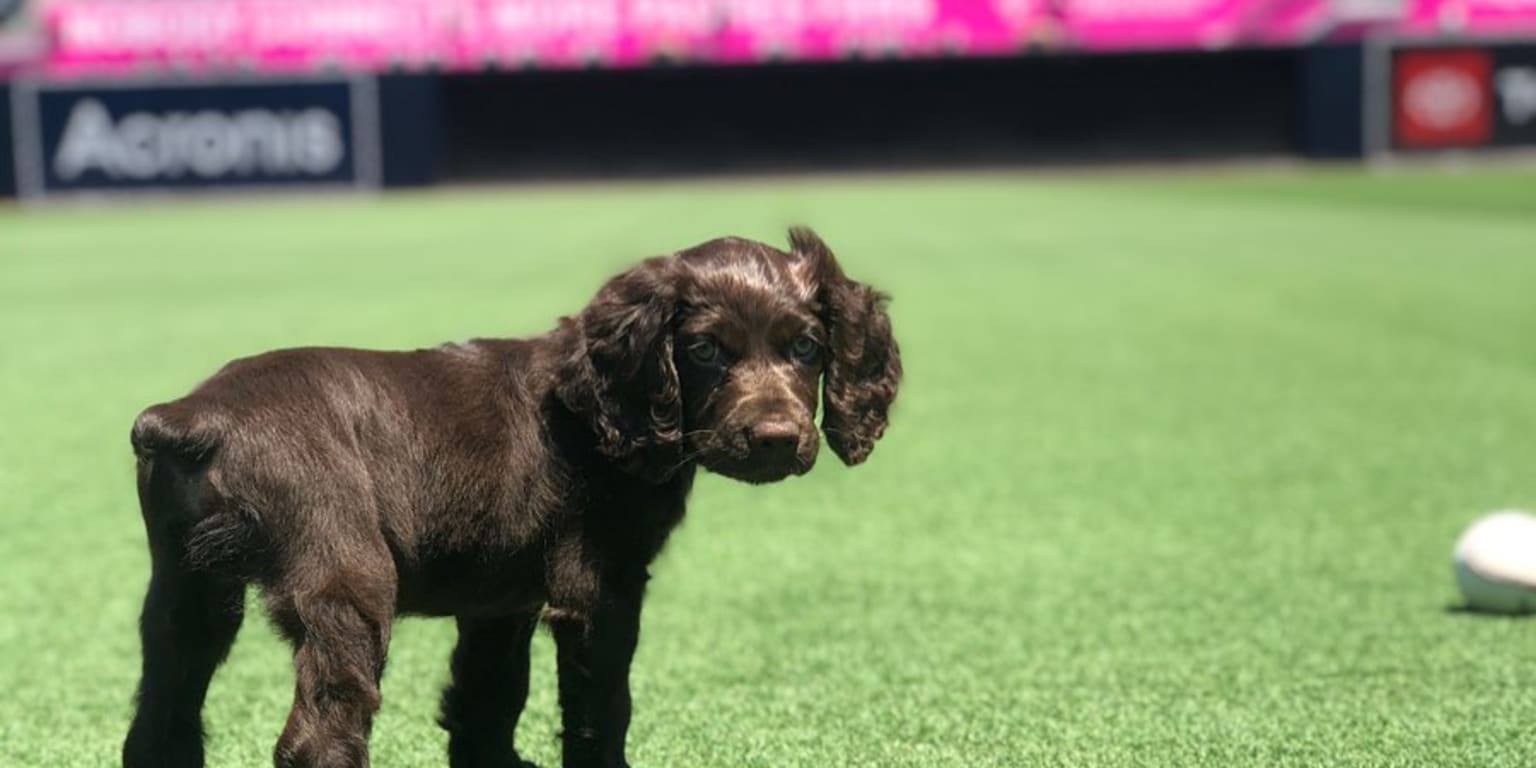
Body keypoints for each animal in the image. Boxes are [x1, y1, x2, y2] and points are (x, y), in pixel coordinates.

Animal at [132, 227, 903, 768]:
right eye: (706, 350)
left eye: (806, 347)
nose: (776, 440)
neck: (594, 413)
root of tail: (188, 417)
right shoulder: (598, 588)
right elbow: (600, 706)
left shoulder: (499, 597)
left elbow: (487, 698)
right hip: (345, 576)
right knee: (316, 735)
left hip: (186, 588)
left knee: (159, 721)